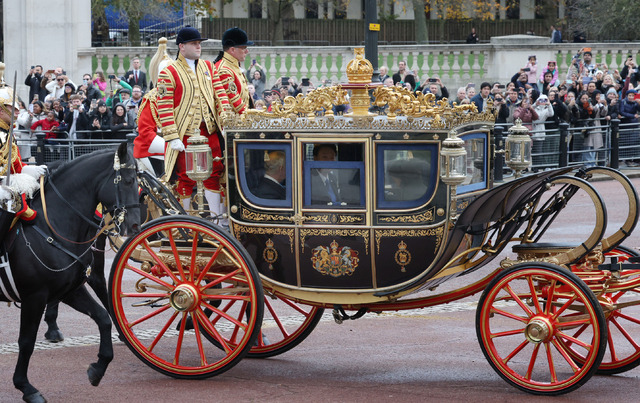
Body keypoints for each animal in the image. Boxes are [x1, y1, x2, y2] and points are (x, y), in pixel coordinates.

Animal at [0, 143, 141, 403]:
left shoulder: (69, 290)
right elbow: (26, 341)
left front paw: (98, 368)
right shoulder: (34, 296)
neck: (50, 226)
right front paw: (26, 387)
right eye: (127, 180)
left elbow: (103, 318)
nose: (135, 226)